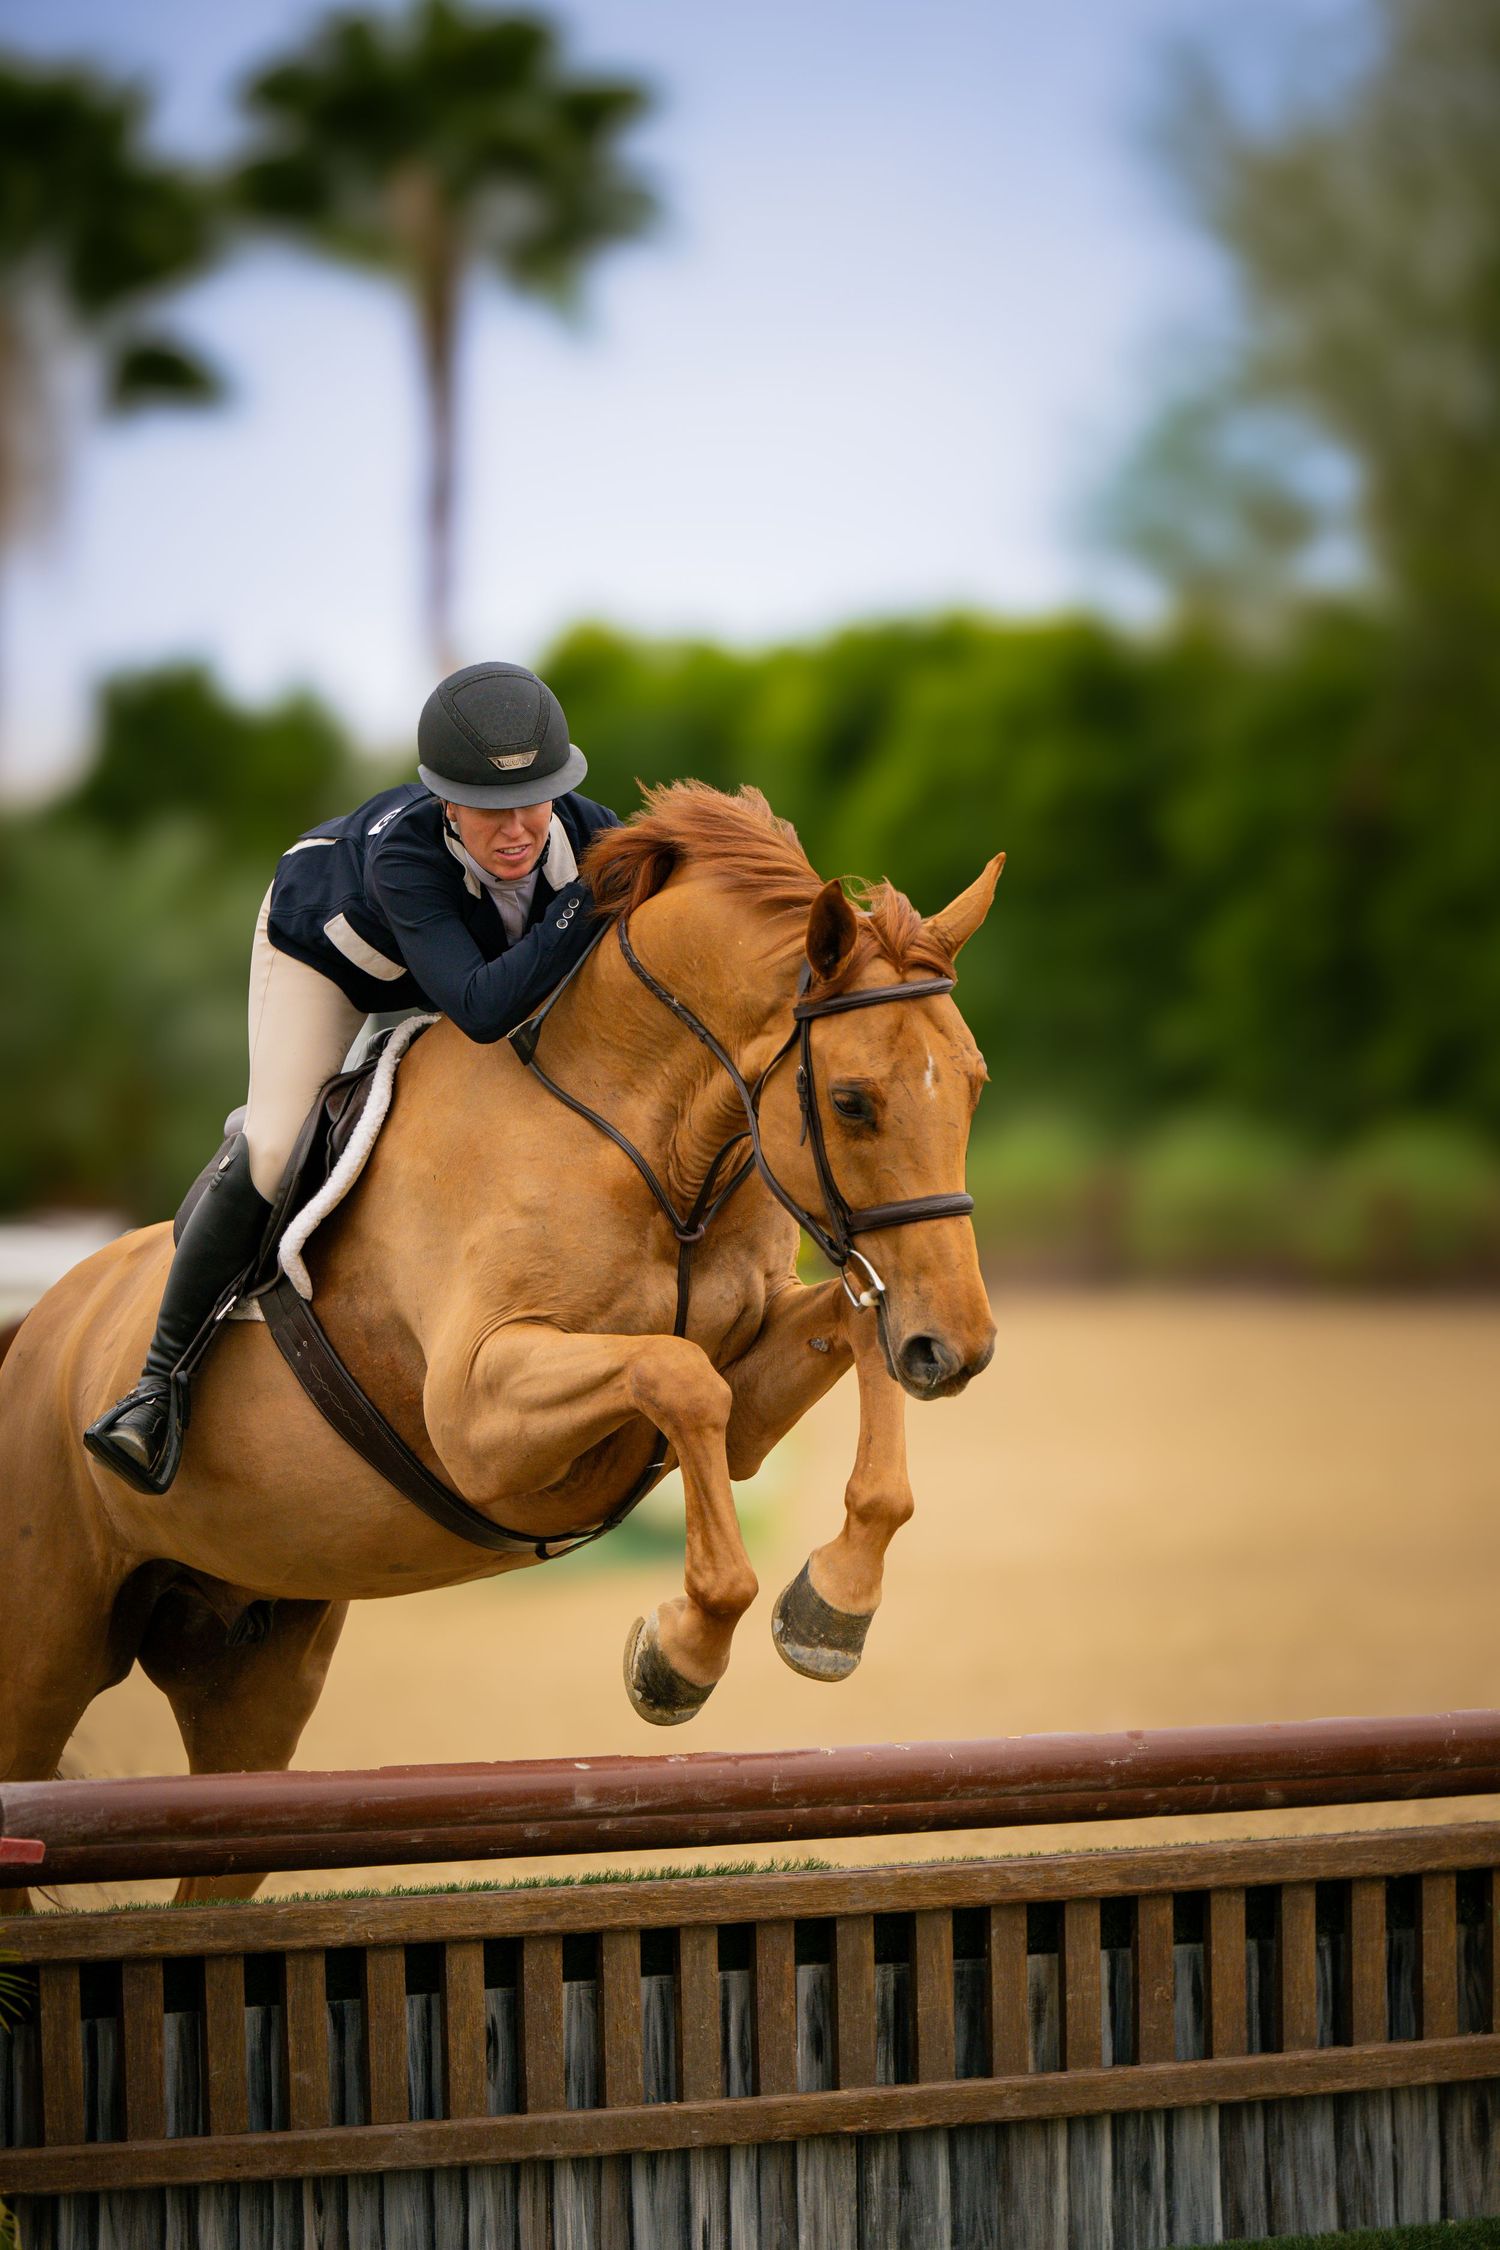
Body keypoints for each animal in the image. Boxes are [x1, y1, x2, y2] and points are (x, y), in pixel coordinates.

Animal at [0, 784, 1001, 1909]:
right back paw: (137, 1425)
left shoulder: (752, 1392)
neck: (655, 1135)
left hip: (251, 1678)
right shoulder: (480, 1420)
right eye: (851, 1102)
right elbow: (678, 1375)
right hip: (42, 1650)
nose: (959, 1350)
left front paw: (832, 1610)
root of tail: (38, 1329)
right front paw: (681, 1652)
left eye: (973, 1084)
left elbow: (846, 1334)